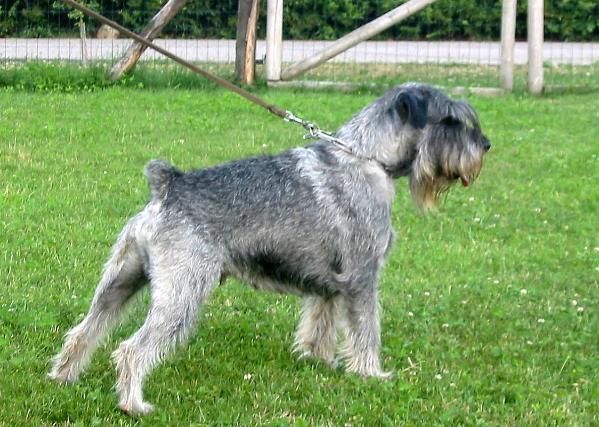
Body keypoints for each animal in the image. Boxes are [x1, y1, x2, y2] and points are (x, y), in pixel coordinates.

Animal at [49, 83, 492, 414]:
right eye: (449, 120)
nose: (485, 145)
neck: (369, 157)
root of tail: (167, 186)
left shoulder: (330, 283)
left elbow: (321, 323)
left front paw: (319, 361)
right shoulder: (363, 277)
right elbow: (367, 330)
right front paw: (371, 374)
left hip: (121, 280)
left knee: (85, 330)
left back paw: (63, 377)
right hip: (182, 295)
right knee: (131, 350)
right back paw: (133, 404)